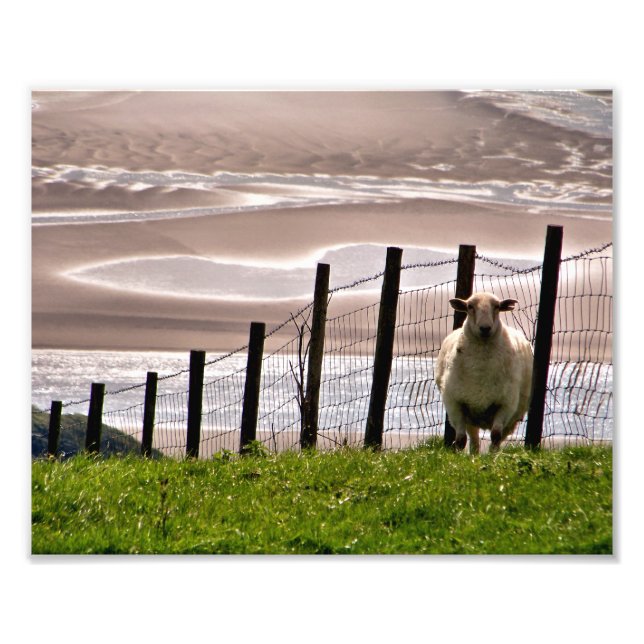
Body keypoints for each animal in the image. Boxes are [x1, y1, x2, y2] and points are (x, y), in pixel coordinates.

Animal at [435, 292, 533, 454]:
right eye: (470, 306)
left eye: (497, 307)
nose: (485, 328)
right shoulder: (455, 403)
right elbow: (460, 440)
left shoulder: (505, 404)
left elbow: (496, 435)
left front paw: (492, 457)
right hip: (471, 415)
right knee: (473, 438)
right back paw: (474, 455)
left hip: (513, 416)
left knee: (500, 436)